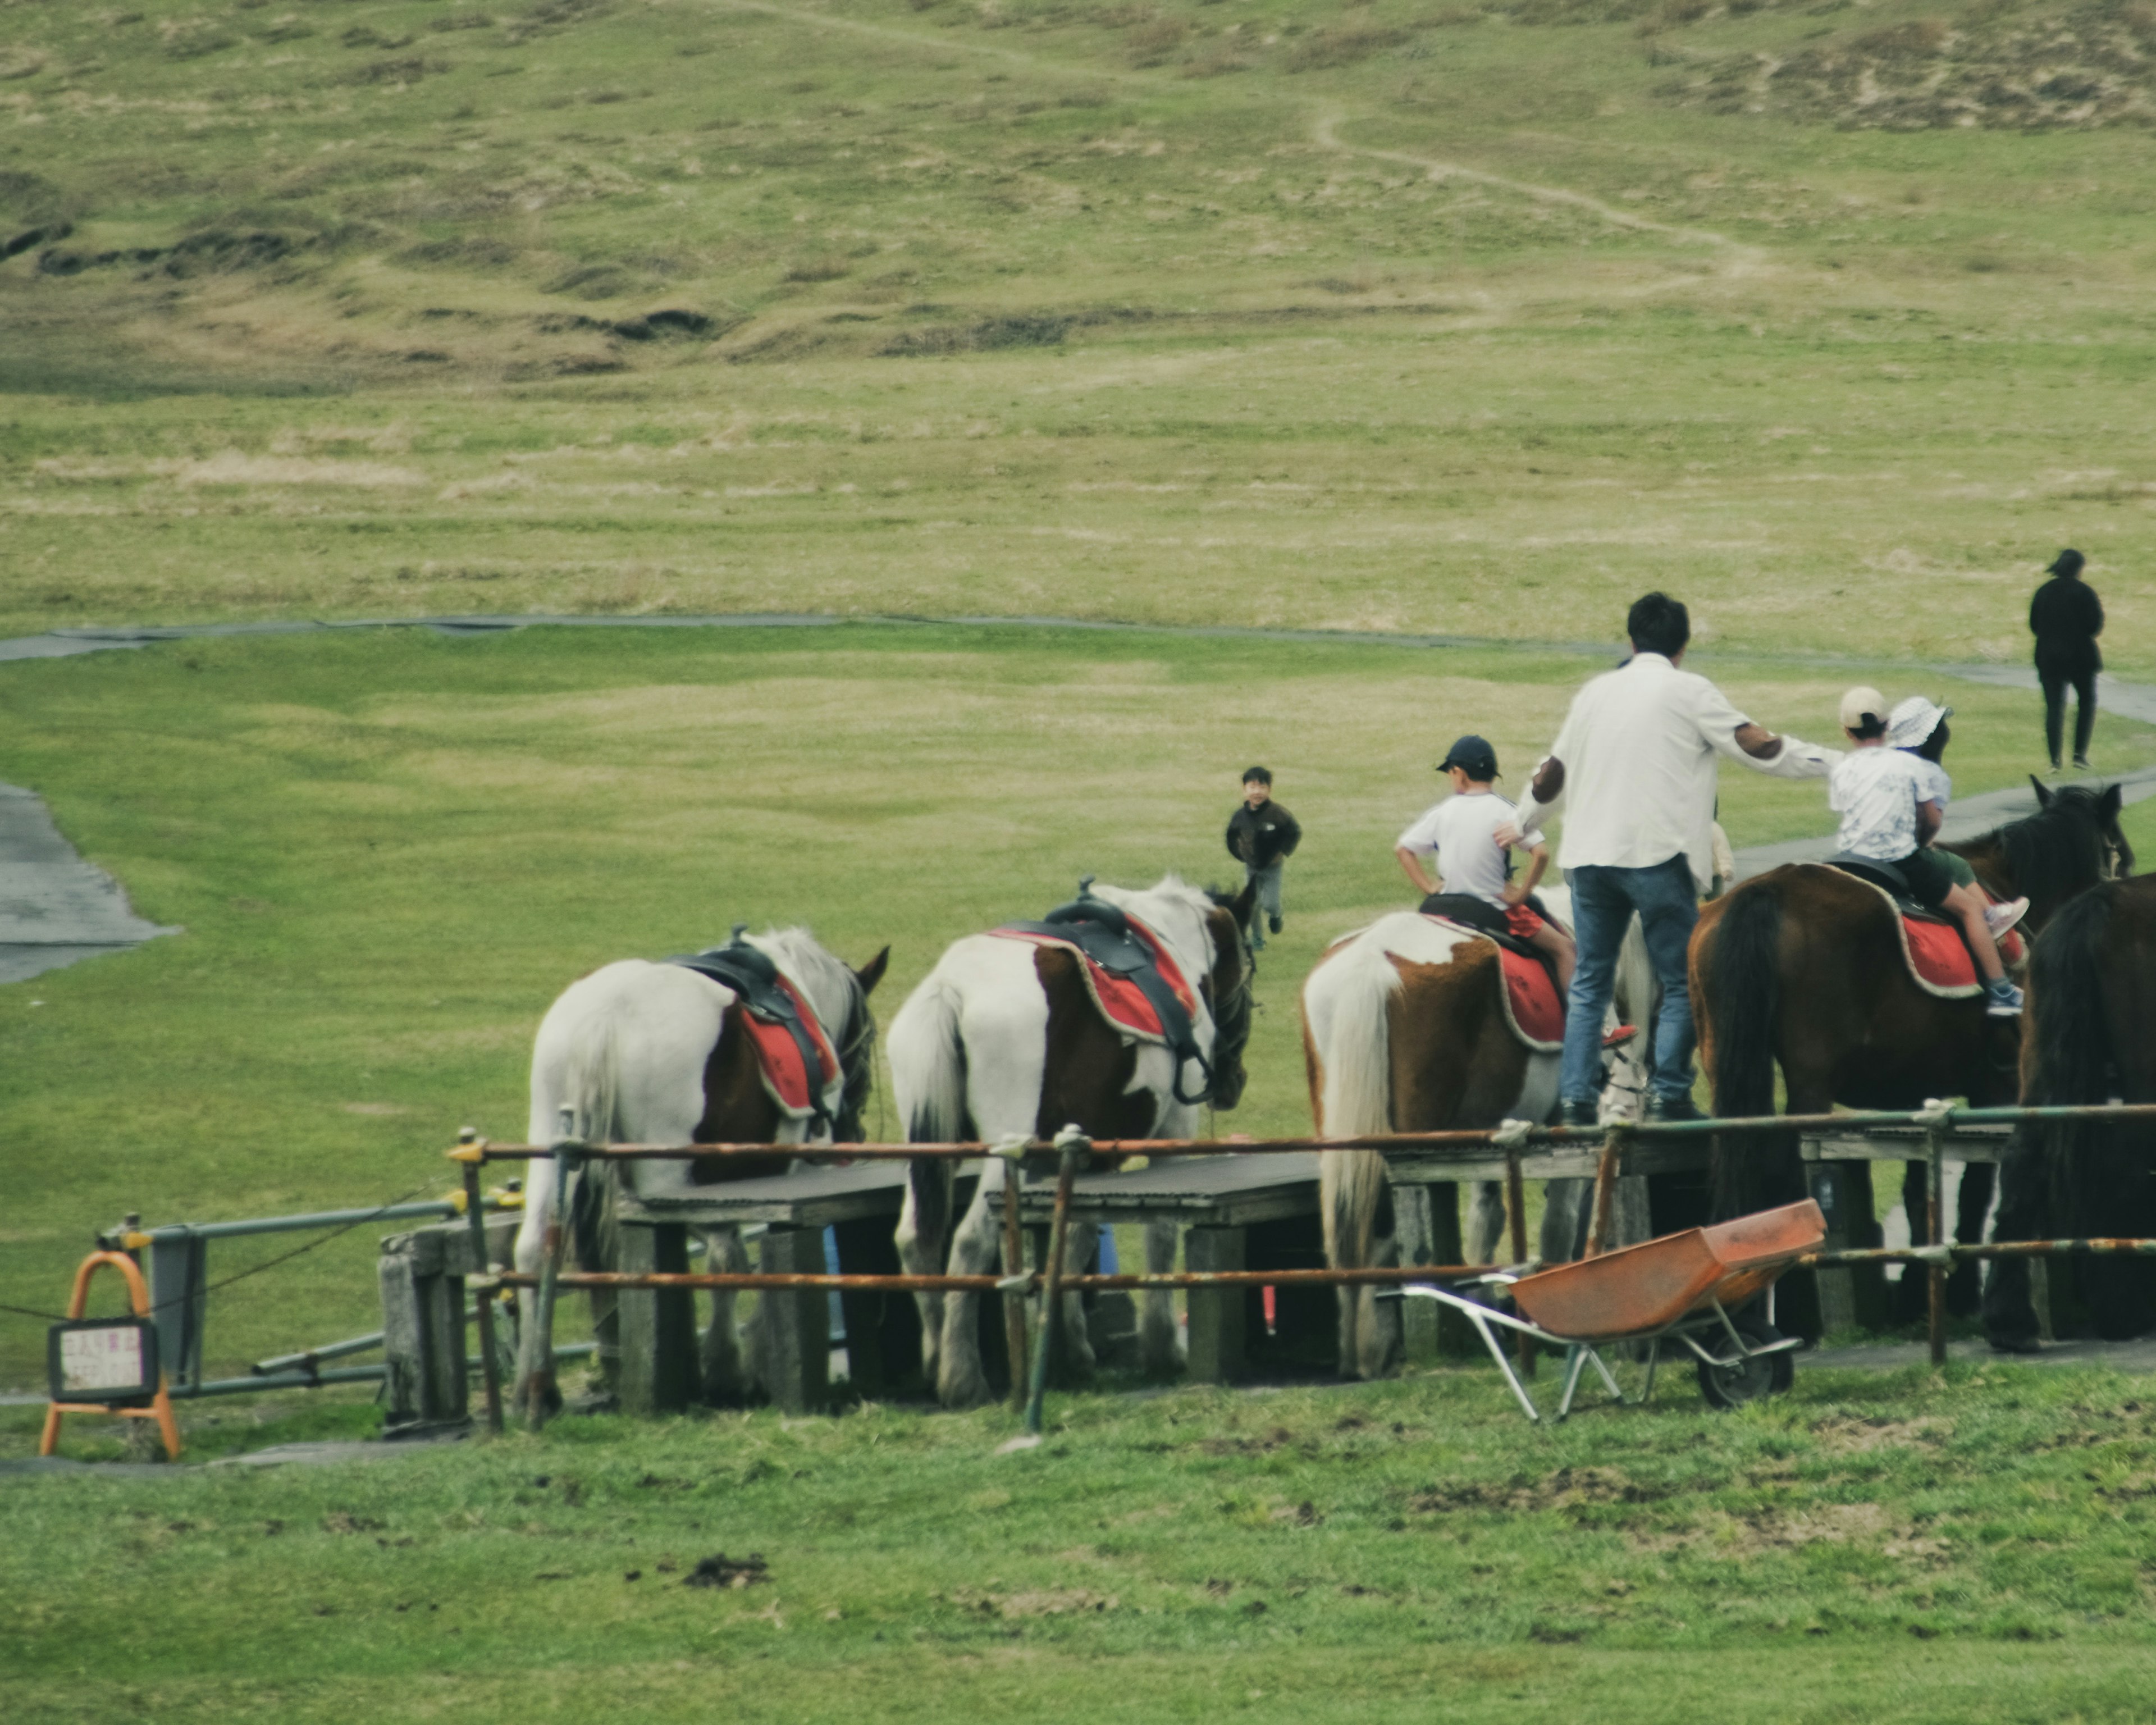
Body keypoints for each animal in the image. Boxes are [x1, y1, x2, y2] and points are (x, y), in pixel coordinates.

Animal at [513, 923, 884, 1405]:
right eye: (869, 1041)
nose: (853, 1132)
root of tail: (607, 1014)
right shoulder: (789, 1174)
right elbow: (735, 1258)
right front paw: (736, 1362)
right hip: (667, 1174)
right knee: (689, 1254)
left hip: (551, 1144)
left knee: (536, 1247)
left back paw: (538, 1386)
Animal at [1690, 781, 2130, 1336]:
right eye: (2122, 855)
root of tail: (1763, 894)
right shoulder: (1997, 1086)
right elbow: (1975, 1188)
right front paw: (1960, 1292)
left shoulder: (1926, 1091)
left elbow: (1922, 1186)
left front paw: (1922, 1292)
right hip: (1811, 1081)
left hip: (1723, 1061)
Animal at [1983, 875, 2156, 1345]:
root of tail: (2103, 902)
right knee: (2125, 1163)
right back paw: (2122, 1311)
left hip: (2041, 1066)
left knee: (2022, 1161)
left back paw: (2009, 1321)